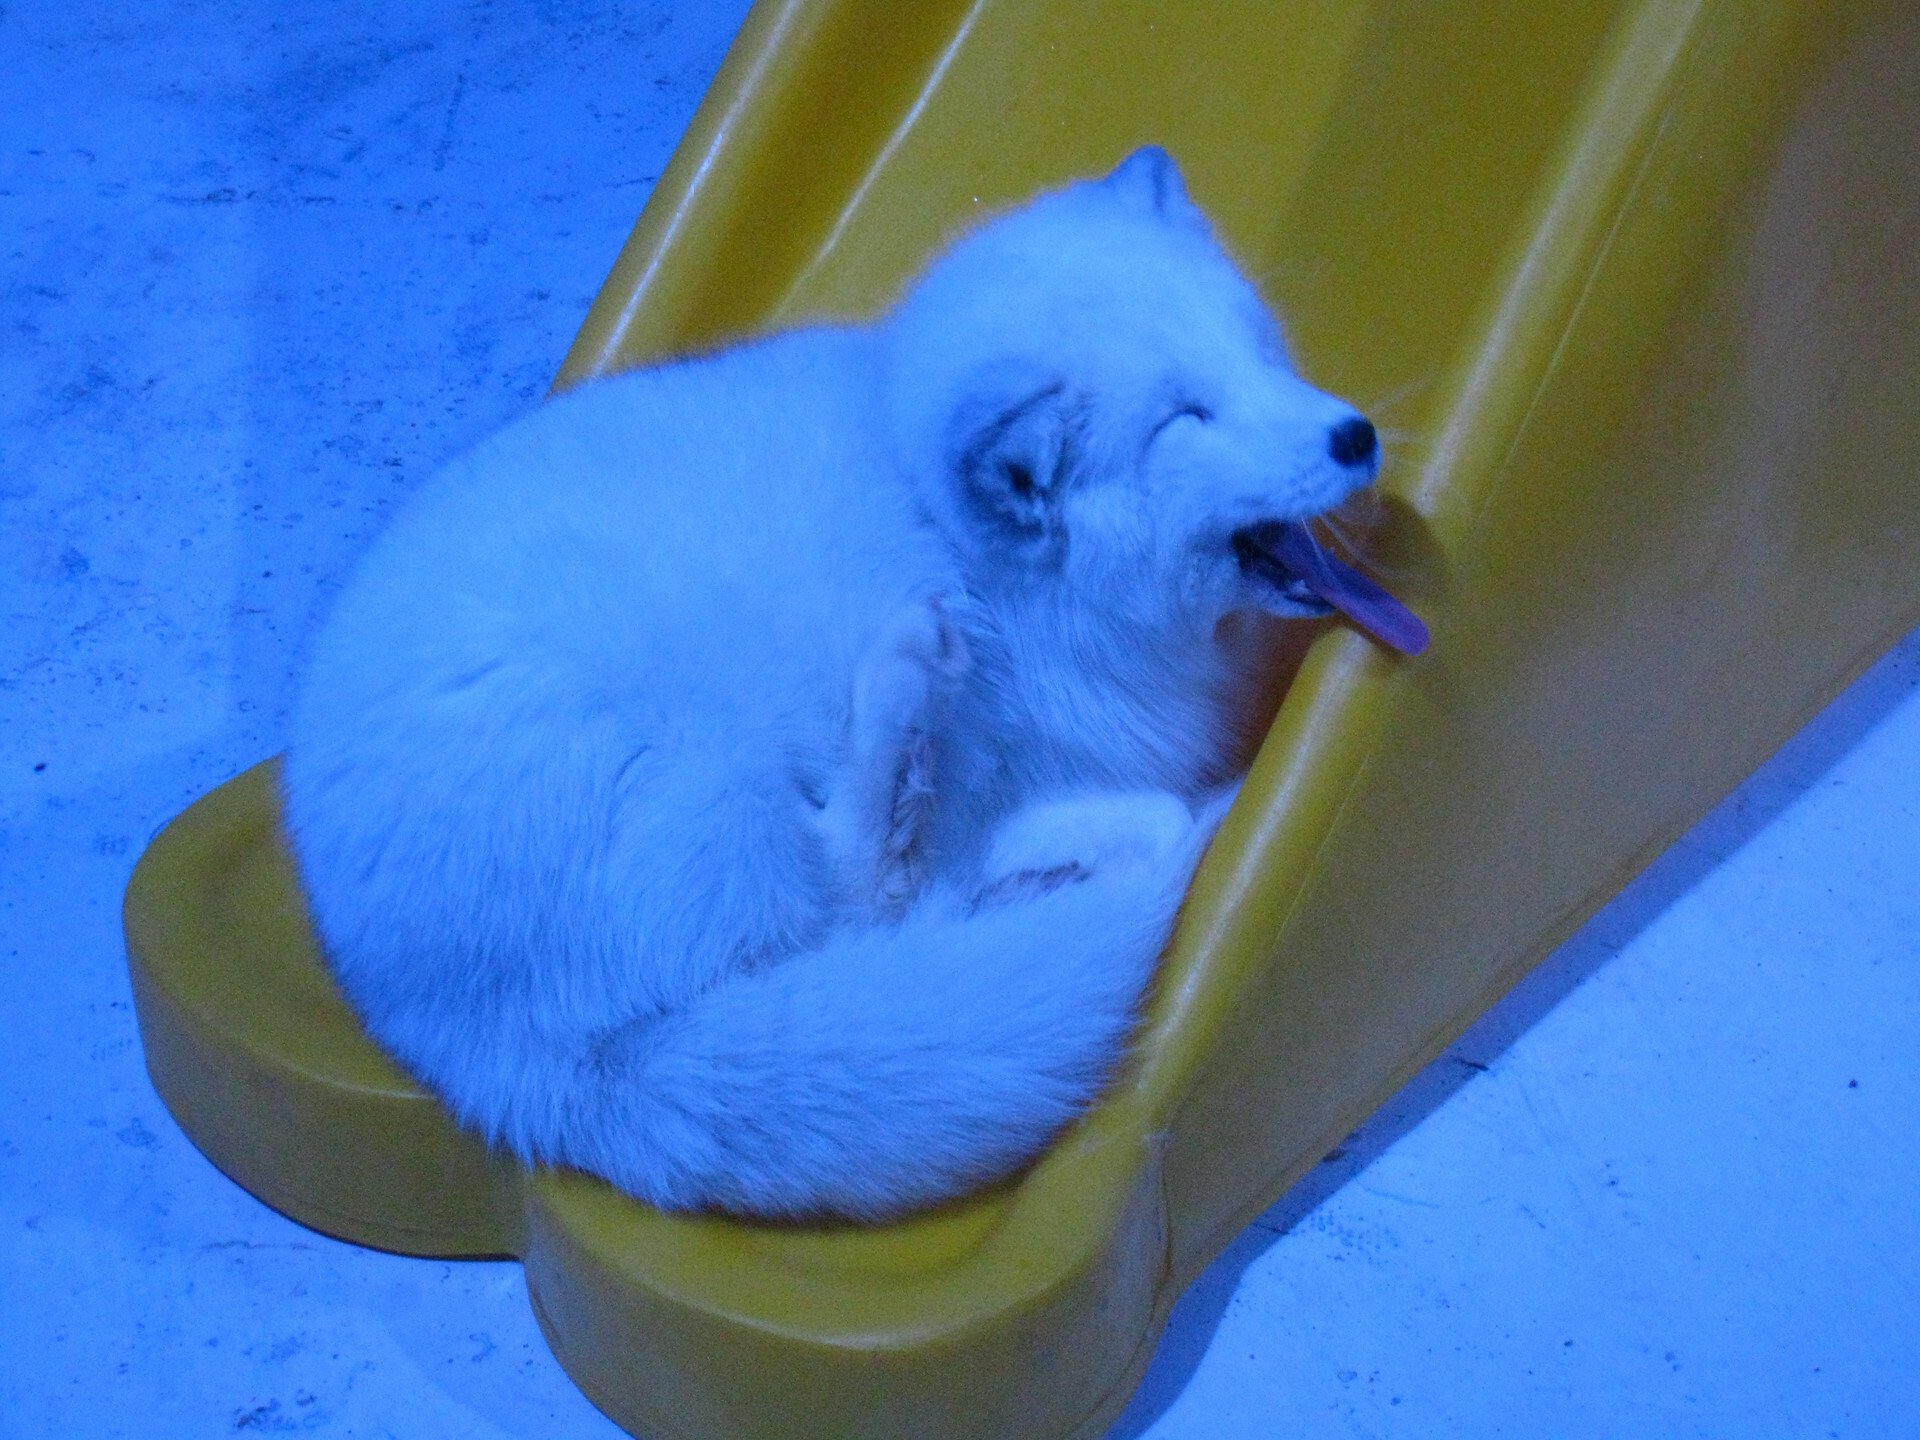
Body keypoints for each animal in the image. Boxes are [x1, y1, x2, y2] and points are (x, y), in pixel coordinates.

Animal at [283, 147, 1384, 1221]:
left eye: (1259, 350)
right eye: (1185, 420)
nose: (1359, 434)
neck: (969, 558)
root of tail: (475, 1057)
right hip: (703, 776)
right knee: (851, 900)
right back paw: (906, 713)